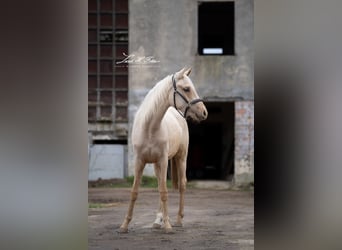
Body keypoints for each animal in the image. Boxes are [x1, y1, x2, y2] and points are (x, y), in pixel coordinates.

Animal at [119, 68, 207, 232]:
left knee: (182, 185)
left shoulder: (163, 160)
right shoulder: (140, 162)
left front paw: (167, 225)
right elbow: (135, 192)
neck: (149, 128)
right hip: (156, 165)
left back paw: (178, 220)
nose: (204, 112)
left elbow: (164, 192)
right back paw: (157, 220)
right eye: (187, 88)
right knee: (160, 183)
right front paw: (124, 225)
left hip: (181, 157)